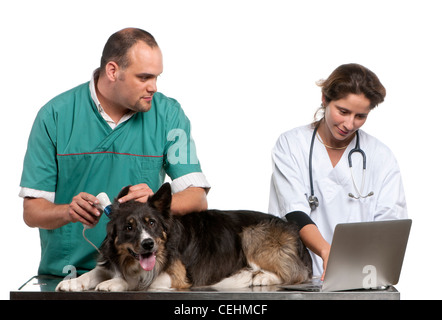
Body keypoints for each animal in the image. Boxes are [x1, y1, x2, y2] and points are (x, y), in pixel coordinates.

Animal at [56, 184, 310, 292]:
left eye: (152, 223)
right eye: (129, 227)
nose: (148, 244)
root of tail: (294, 229)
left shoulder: (177, 277)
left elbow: (137, 280)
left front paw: (115, 283)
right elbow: (93, 273)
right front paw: (73, 281)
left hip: (251, 233)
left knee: (295, 273)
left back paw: (262, 278)